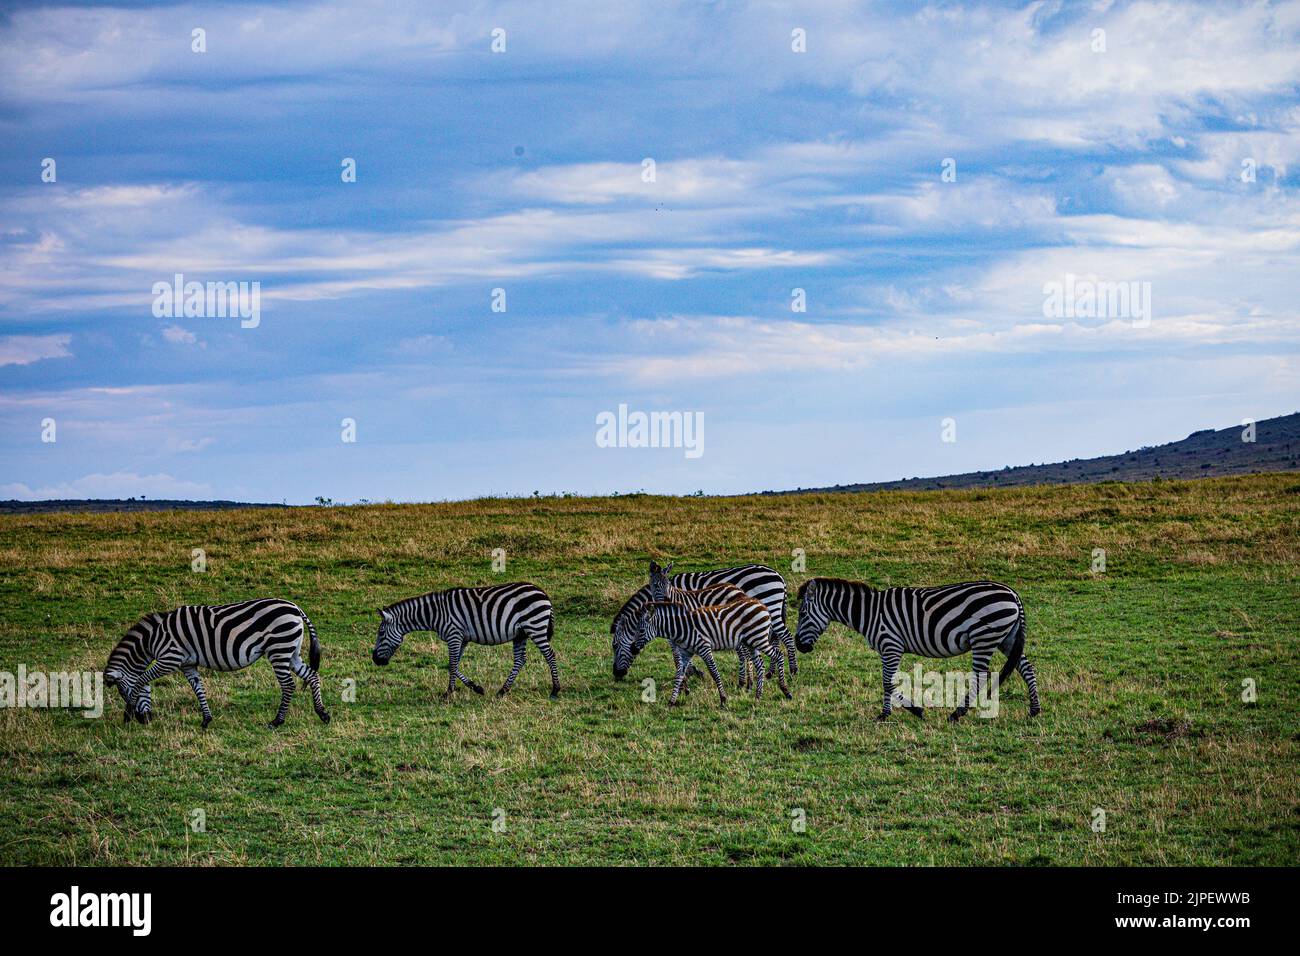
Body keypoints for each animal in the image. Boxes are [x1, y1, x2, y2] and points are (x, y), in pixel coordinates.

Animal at [103, 598, 330, 729]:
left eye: (121, 691)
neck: (153, 639)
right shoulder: (187, 664)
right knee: (312, 675)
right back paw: (322, 713)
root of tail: (296, 608)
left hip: (279, 649)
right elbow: (198, 689)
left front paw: (128, 713)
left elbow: (141, 680)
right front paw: (206, 720)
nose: (145, 721)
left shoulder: (169, 659)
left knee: (288, 685)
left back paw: (277, 721)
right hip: (291, 651)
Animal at [371, 582, 559, 699]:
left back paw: (555, 690)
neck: (435, 613)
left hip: (535, 626)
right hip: (521, 633)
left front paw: (448, 694)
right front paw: (476, 688)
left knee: (550, 655)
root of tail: (542, 592)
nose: (374, 660)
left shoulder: (454, 635)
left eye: (381, 633)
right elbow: (453, 665)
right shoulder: (461, 638)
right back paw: (502, 691)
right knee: (520, 660)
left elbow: (453, 664)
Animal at [611, 563, 795, 681]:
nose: (616, 674)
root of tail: (779, 576)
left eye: (615, 645)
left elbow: (676, 649)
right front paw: (691, 671)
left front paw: (691, 671)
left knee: (786, 637)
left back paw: (793, 671)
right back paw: (771, 672)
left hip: (770, 606)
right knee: (775, 638)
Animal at [639, 598, 792, 706]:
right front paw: (671, 701)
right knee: (760, 666)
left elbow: (714, 672)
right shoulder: (686, 653)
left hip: (759, 638)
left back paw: (785, 690)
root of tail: (762, 605)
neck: (682, 628)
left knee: (778, 655)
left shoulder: (704, 647)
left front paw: (723, 699)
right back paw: (758, 696)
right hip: (752, 642)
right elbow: (678, 675)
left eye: (640, 630)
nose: (635, 647)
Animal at [794, 577, 1041, 721]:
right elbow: (888, 682)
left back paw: (956, 714)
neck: (869, 613)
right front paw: (889, 713)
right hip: (1006, 638)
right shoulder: (888, 648)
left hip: (985, 637)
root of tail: (1013, 594)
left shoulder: (891, 645)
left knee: (980, 677)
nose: (798, 645)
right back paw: (1034, 710)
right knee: (1026, 668)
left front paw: (907, 711)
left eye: (802, 614)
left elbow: (887, 682)